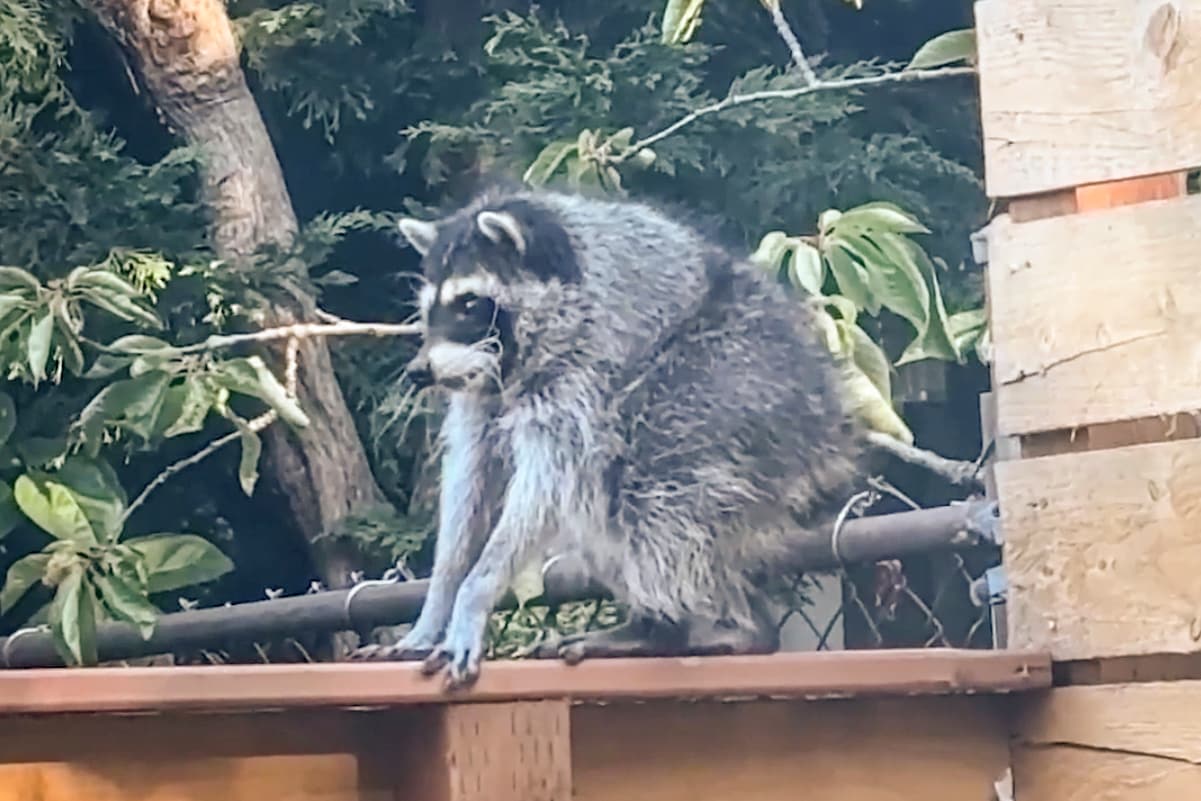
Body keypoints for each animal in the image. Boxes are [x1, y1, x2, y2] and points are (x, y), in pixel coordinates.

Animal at [352, 184, 865, 688]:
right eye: (428, 310)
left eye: (468, 303)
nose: (419, 372)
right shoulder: (481, 392)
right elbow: (472, 480)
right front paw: (437, 604)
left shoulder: (584, 364)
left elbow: (543, 484)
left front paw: (476, 591)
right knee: (605, 499)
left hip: (736, 380)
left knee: (655, 492)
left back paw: (677, 629)